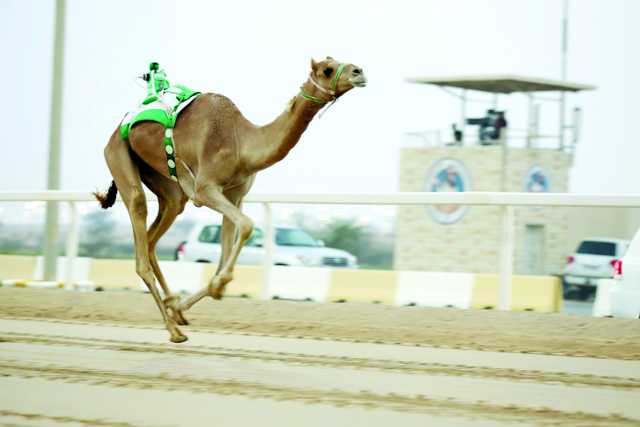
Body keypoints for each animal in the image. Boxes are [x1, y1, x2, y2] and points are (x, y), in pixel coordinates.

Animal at [92, 56, 368, 344]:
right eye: (327, 69)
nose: (359, 72)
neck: (242, 143)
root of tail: (121, 127)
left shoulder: (235, 195)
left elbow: (227, 248)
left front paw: (192, 300)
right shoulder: (205, 189)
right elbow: (246, 226)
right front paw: (206, 293)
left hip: (168, 187)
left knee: (151, 238)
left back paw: (173, 308)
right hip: (119, 156)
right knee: (139, 226)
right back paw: (173, 329)